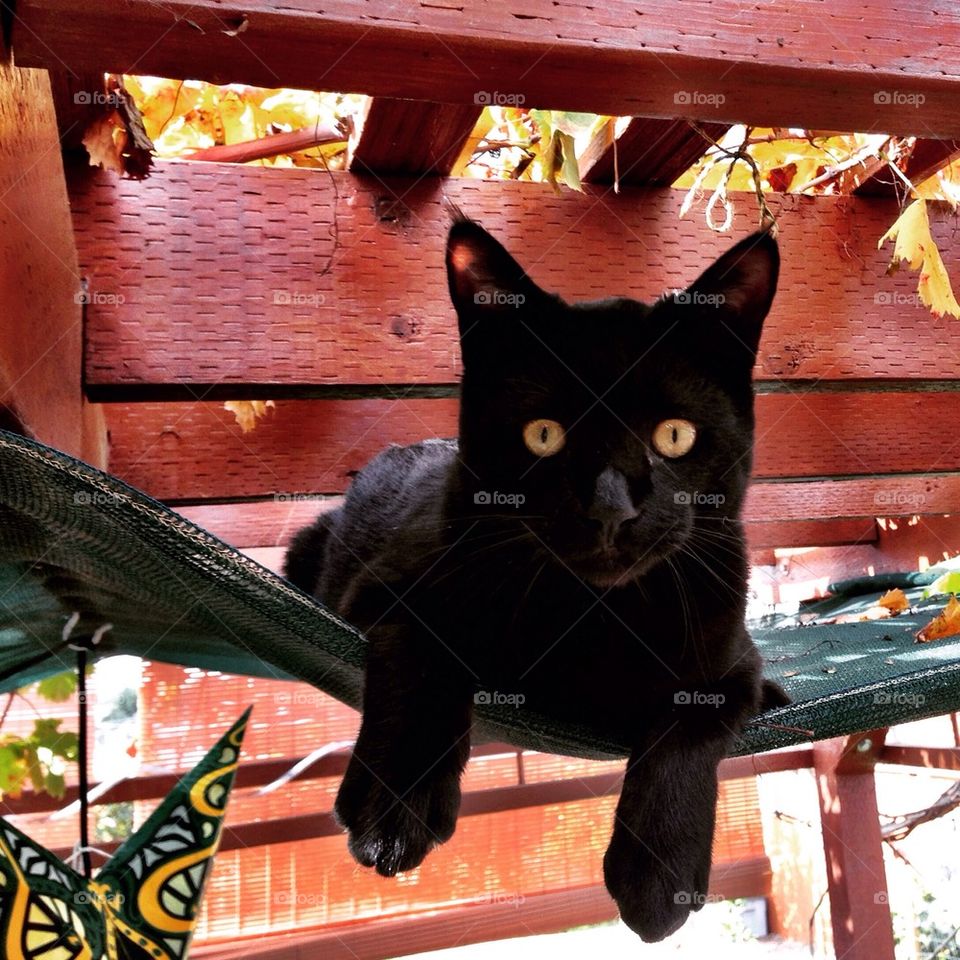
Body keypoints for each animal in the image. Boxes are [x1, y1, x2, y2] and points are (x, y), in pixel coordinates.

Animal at [284, 216, 788, 936]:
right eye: (543, 435)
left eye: (674, 436)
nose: (610, 506)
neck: (595, 614)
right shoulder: (381, 592)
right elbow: (426, 650)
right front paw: (396, 805)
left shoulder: (729, 654)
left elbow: (694, 720)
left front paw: (657, 874)